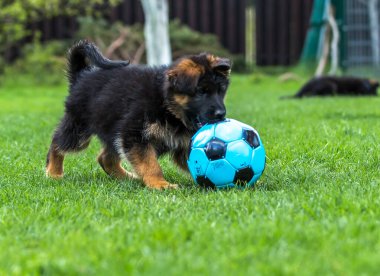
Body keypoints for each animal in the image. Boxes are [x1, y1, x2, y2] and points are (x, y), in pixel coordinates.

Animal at [47, 40, 232, 189]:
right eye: (201, 92)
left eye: (221, 91)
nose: (221, 114)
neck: (167, 104)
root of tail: (81, 76)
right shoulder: (134, 133)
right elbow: (150, 163)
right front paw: (159, 184)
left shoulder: (183, 144)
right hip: (79, 128)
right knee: (57, 142)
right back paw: (53, 172)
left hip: (111, 129)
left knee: (105, 158)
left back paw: (128, 178)